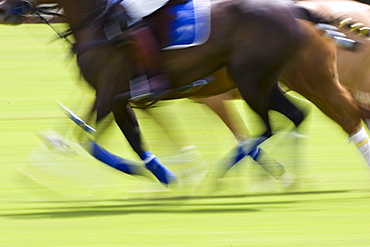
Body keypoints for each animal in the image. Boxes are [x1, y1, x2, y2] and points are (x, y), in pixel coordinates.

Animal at [0, 0, 368, 187]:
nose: (3, 8)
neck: (99, 25)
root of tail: (297, 11)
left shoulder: (111, 91)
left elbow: (89, 138)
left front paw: (163, 174)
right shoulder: (122, 95)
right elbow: (111, 133)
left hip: (264, 81)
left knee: (314, 119)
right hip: (267, 82)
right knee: (298, 115)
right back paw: (284, 175)